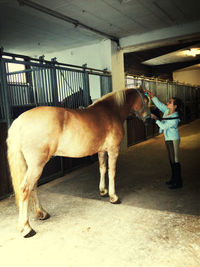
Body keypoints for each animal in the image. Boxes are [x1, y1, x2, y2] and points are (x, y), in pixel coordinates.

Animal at [6, 87, 150, 238]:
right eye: (145, 100)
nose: (148, 118)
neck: (111, 111)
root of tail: (20, 121)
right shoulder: (113, 150)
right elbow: (112, 172)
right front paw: (113, 197)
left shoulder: (101, 150)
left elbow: (102, 168)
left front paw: (103, 191)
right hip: (37, 165)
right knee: (25, 189)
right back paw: (26, 228)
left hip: (31, 165)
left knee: (33, 187)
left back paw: (42, 213)